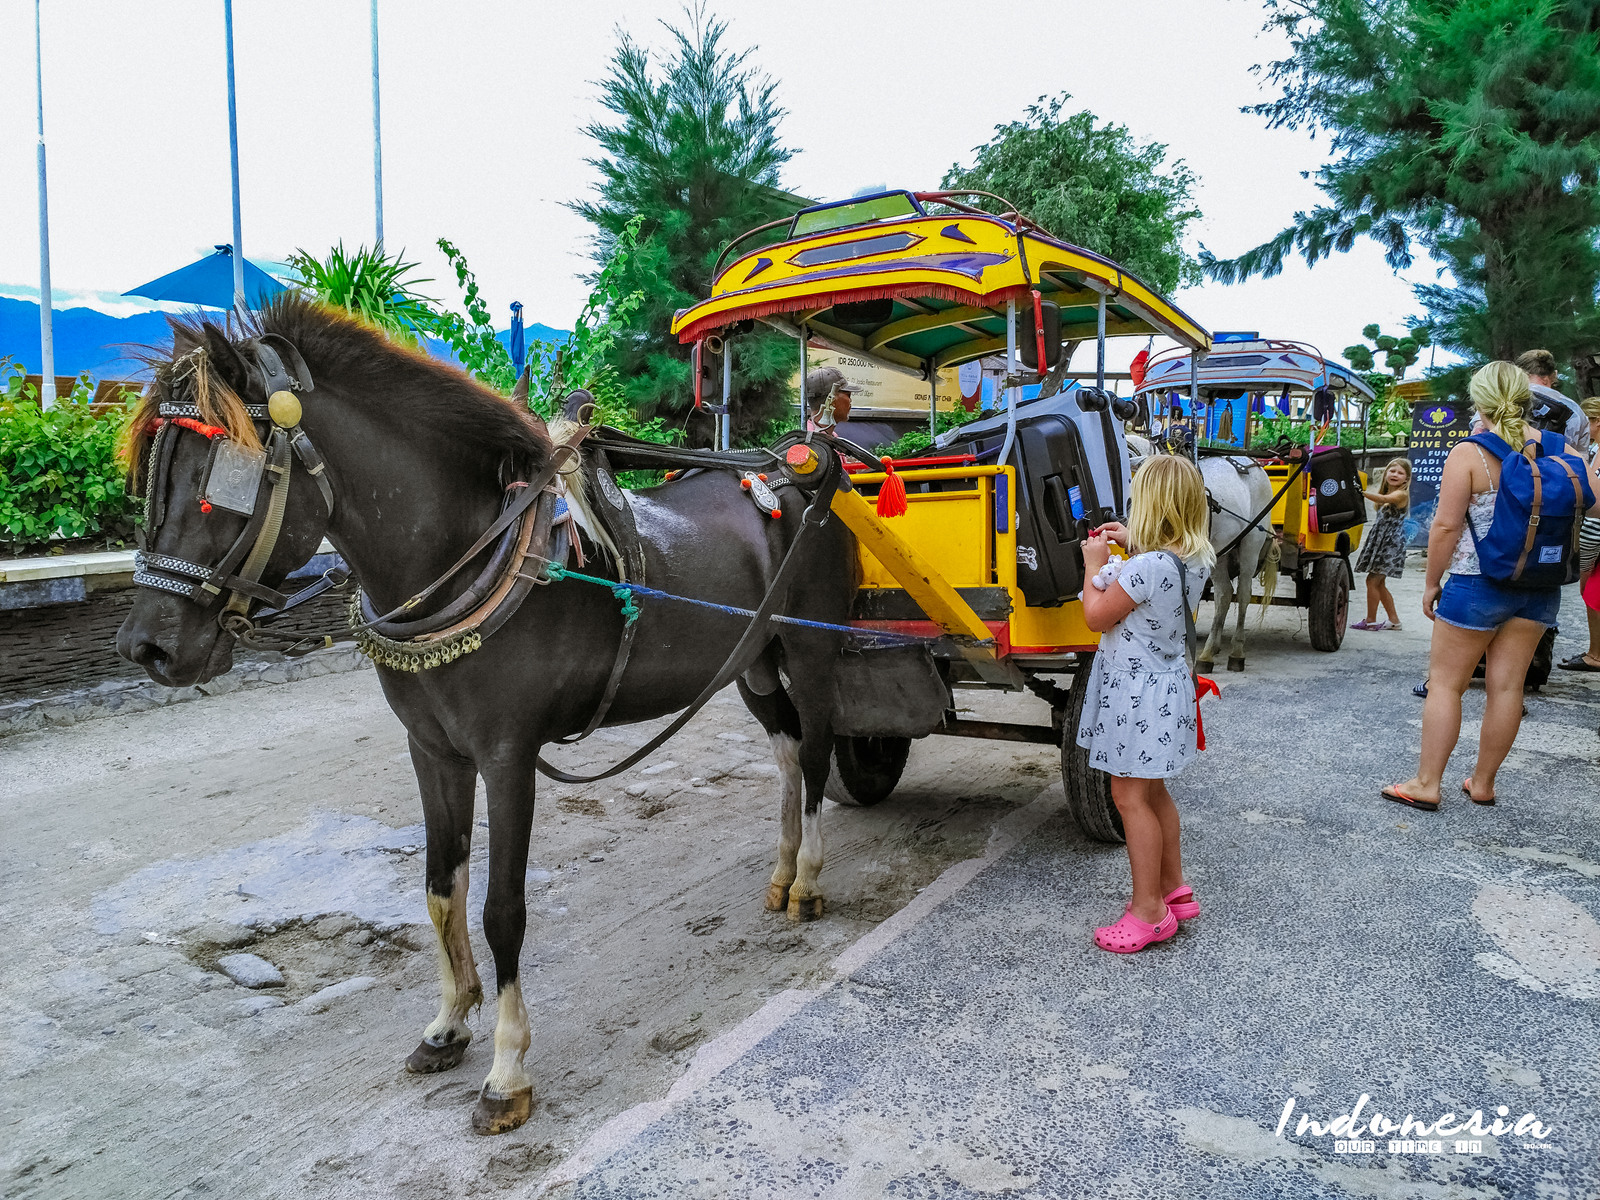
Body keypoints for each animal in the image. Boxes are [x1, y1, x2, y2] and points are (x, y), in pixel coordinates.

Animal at [116, 296, 864, 1132]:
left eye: (225, 475)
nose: (146, 646)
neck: (467, 556)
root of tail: (794, 466)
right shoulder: (432, 750)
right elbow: (440, 889)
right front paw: (447, 1025)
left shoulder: (508, 756)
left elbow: (502, 907)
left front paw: (508, 1070)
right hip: (751, 663)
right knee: (786, 752)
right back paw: (781, 872)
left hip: (811, 649)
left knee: (817, 751)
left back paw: (808, 880)